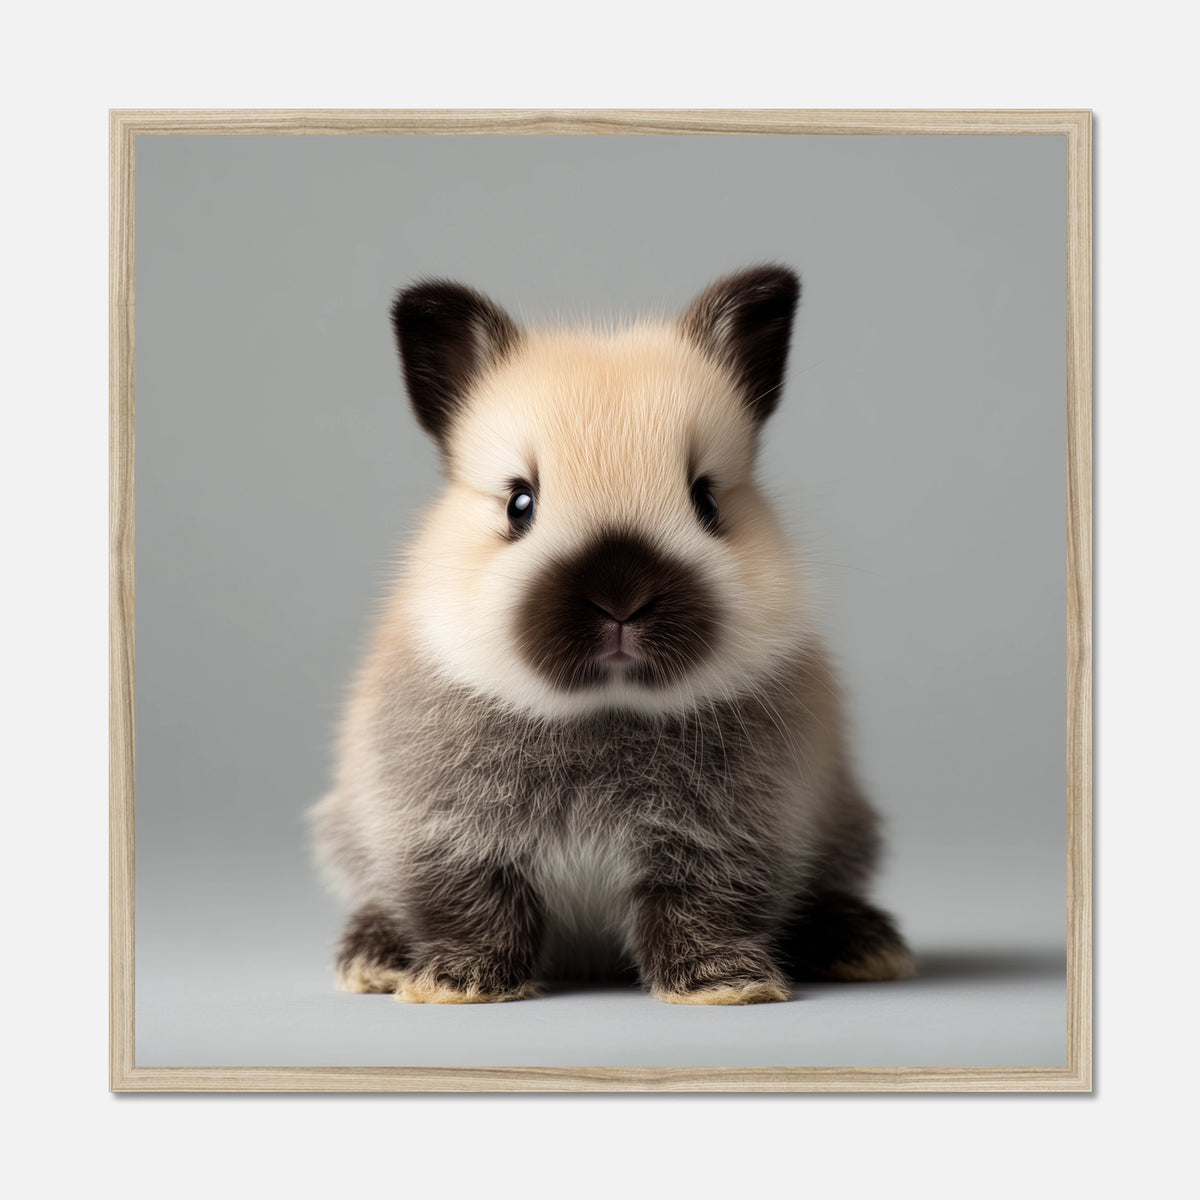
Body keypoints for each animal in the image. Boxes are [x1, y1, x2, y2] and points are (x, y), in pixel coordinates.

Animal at [310, 265, 914, 1005]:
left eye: (707, 500)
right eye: (519, 504)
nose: (620, 596)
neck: (605, 711)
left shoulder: (729, 838)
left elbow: (702, 906)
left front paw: (723, 985)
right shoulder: (444, 834)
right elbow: (471, 906)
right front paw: (456, 983)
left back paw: (864, 945)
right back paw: (373, 958)